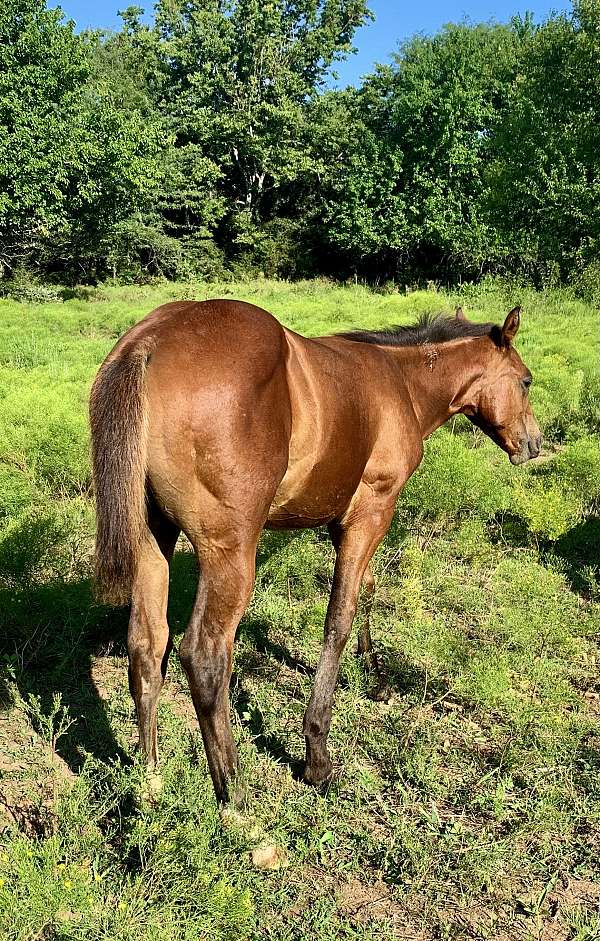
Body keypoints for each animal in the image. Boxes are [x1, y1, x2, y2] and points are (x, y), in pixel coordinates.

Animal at [90, 300, 544, 800]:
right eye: (526, 381)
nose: (534, 444)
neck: (400, 382)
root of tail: (148, 342)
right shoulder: (371, 511)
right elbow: (339, 617)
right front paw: (317, 755)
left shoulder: (345, 522)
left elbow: (365, 591)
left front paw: (376, 678)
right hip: (230, 553)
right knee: (204, 658)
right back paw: (235, 796)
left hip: (153, 541)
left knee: (147, 646)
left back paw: (150, 778)